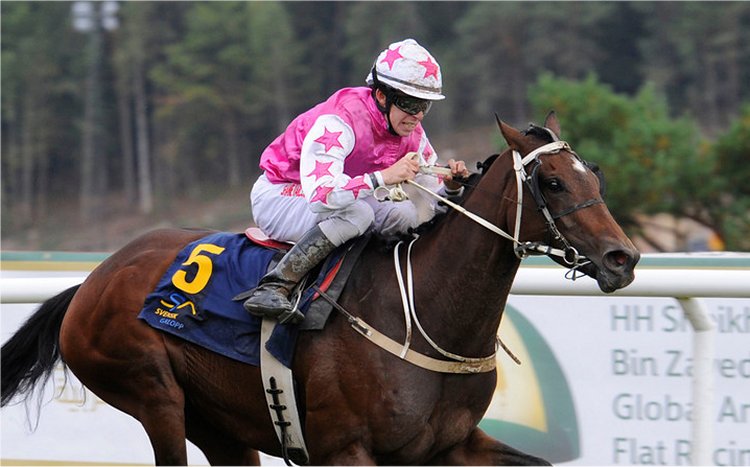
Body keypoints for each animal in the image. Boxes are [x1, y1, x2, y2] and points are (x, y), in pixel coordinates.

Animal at [1, 112, 640, 464]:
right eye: (552, 182)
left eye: (595, 174)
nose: (623, 258)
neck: (421, 314)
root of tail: (94, 278)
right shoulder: (345, 450)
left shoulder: (451, 446)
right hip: (151, 393)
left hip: (221, 425)